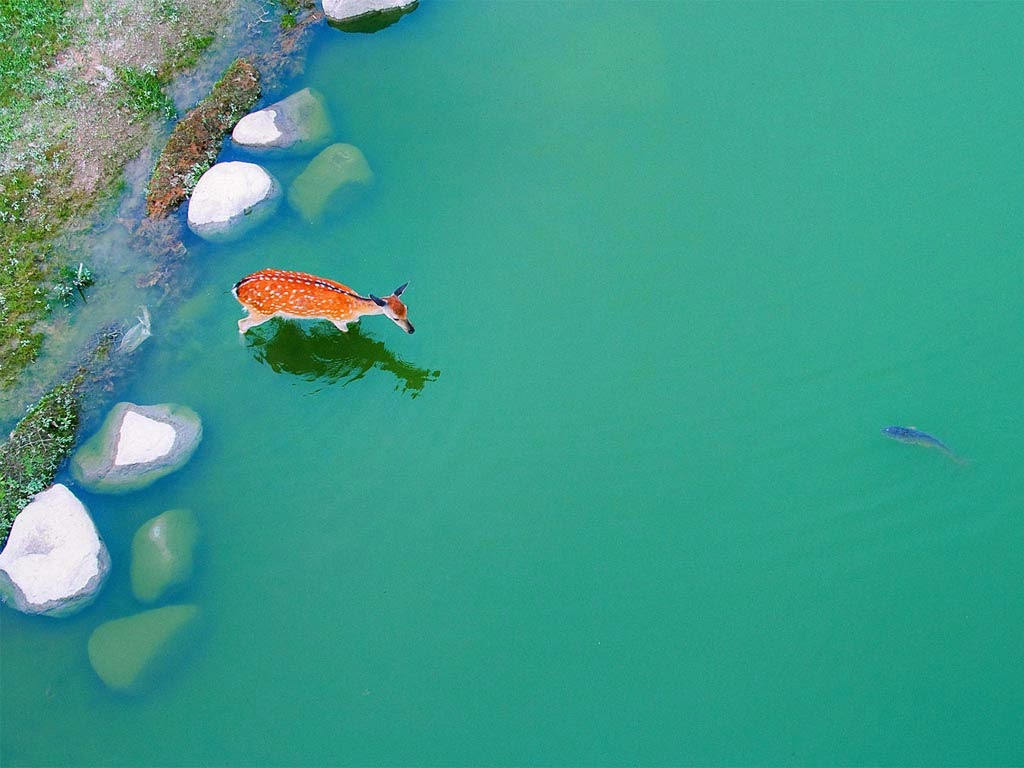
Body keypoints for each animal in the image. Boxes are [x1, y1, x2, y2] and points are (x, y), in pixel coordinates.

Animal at [232, 268, 415, 335]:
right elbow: (345, 332)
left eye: (407, 308)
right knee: (242, 324)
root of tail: (236, 288)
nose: (411, 330)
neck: (355, 306)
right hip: (261, 311)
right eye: (395, 318)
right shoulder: (337, 318)